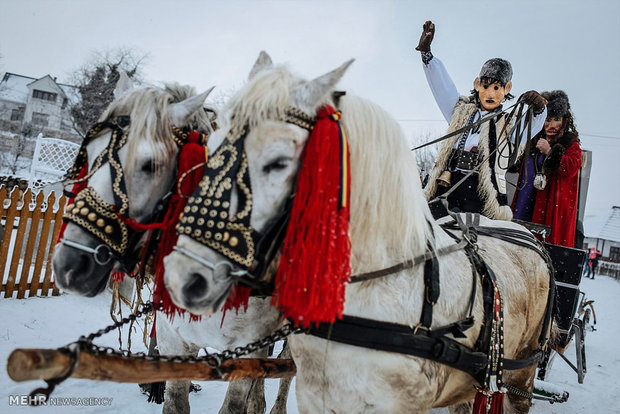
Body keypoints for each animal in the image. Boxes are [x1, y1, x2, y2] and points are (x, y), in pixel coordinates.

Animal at [50, 78, 288, 414]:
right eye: (90, 156)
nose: (69, 265)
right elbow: (175, 402)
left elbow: (236, 403)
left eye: (150, 165)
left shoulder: (248, 351)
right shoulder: (174, 339)